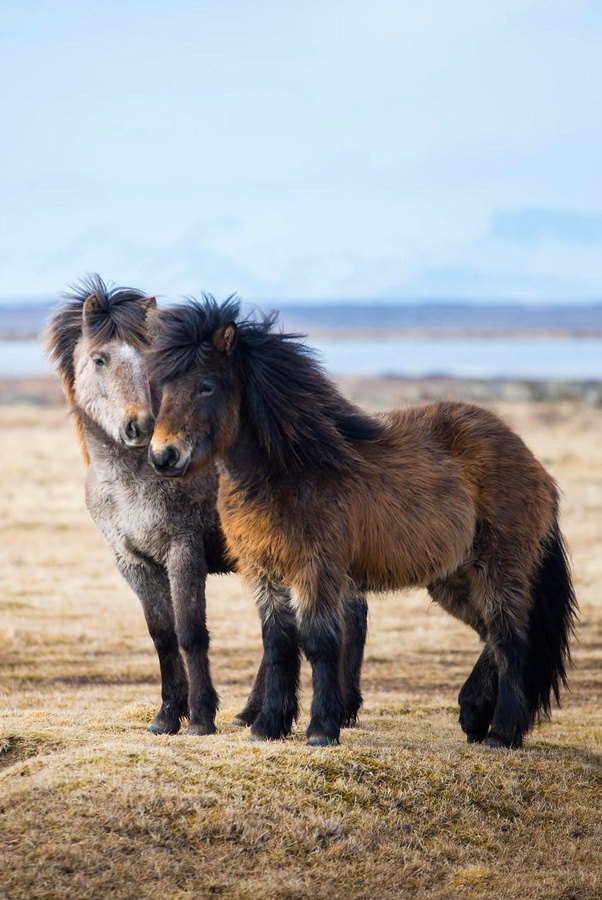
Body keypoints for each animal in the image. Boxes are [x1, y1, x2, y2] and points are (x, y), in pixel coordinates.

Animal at [46, 276, 233, 736]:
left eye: (148, 360)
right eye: (99, 359)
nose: (141, 426)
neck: (131, 480)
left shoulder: (184, 553)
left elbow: (191, 632)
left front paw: (201, 718)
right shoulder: (132, 561)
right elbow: (162, 634)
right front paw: (166, 717)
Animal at [147, 296, 577, 749]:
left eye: (207, 385)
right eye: (163, 386)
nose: (163, 456)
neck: (291, 470)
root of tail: (533, 462)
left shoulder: (315, 570)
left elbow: (319, 643)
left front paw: (321, 730)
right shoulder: (265, 572)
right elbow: (278, 645)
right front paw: (268, 726)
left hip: (499, 567)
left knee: (512, 640)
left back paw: (502, 732)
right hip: (453, 577)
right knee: (491, 636)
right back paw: (473, 714)